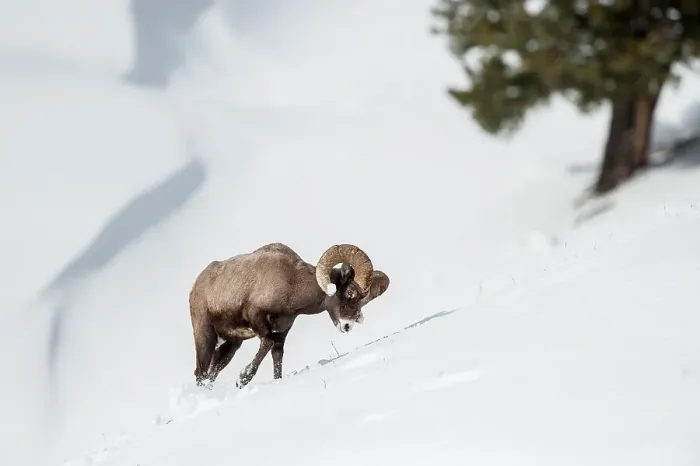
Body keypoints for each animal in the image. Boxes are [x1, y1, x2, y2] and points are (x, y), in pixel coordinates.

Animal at [188, 242, 390, 388]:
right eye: (350, 292)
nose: (347, 326)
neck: (292, 283)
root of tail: (196, 286)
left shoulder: (281, 331)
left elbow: (277, 355)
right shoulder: (257, 317)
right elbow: (267, 343)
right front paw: (243, 379)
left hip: (232, 344)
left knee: (212, 372)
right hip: (205, 335)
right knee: (201, 373)